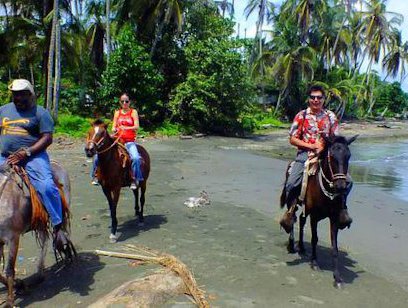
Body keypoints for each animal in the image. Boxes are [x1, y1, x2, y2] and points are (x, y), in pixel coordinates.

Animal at [0, 161, 74, 306]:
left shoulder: (13, 238)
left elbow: (9, 269)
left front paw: (10, 301)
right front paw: (19, 285)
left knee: (61, 233)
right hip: (40, 221)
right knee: (45, 240)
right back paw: (40, 273)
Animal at [280, 135, 356, 288]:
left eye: (348, 156)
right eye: (331, 156)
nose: (341, 186)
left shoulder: (334, 217)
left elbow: (334, 247)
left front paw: (337, 278)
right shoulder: (314, 215)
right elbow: (314, 238)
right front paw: (314, 263)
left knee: (301, 220)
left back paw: (302, 247)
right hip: (293, 199)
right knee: (292, 218)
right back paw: (292, 245)